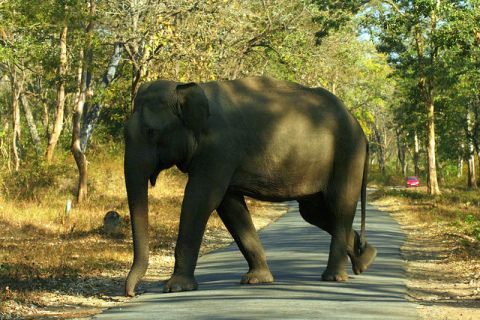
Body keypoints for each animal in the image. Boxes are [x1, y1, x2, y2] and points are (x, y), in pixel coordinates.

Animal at [124, 76, 378, 296]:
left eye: (151, 132)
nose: (131, 293)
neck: (190, 90)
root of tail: (361, 131)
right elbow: (230, 207)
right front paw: (257, 279)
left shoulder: (218, 149)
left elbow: (200, 199)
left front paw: (175, 287)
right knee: (313, 212)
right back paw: (366, 259)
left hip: (347, 154)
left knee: (339, 205)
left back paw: (335, 277)